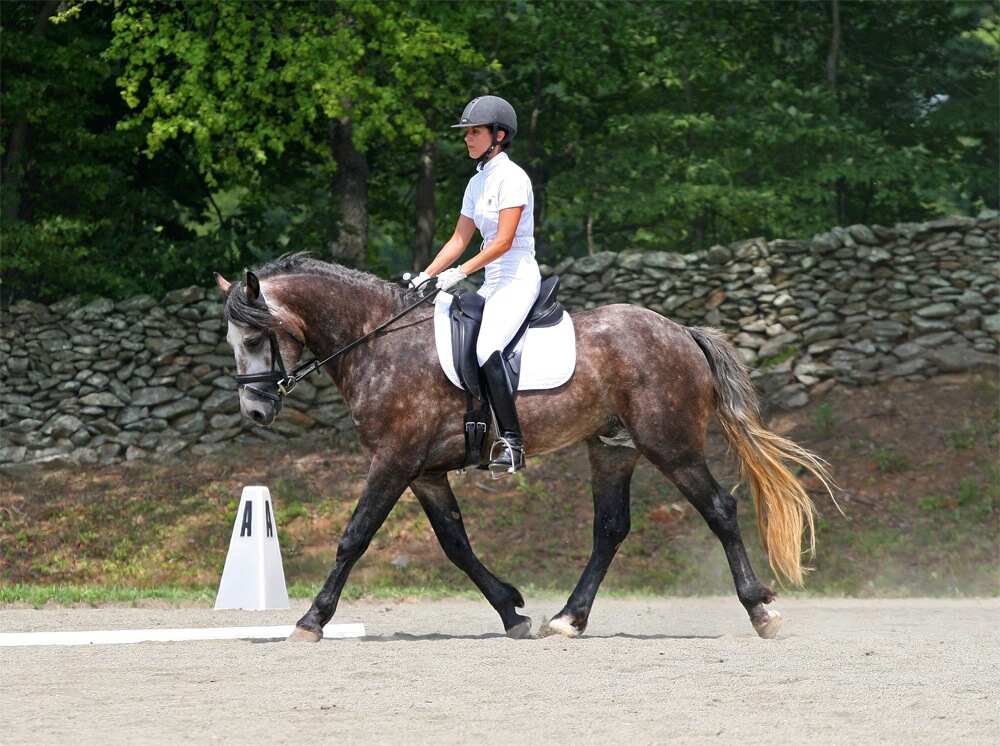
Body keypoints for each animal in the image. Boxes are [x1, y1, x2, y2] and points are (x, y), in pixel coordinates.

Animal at [214, 254, 832, 642]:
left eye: (254, 338)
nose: (256, 412)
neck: (379, 342)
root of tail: (681, 331)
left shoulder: (393, 461)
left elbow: (353, 538)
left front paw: (311, 620)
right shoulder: (424, 472)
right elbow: (455, 544)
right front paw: (511, 608)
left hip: (671, 444)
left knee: (720, 510)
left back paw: (760, 610)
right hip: (613, 448)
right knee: (610, 528)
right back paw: (568, 619)